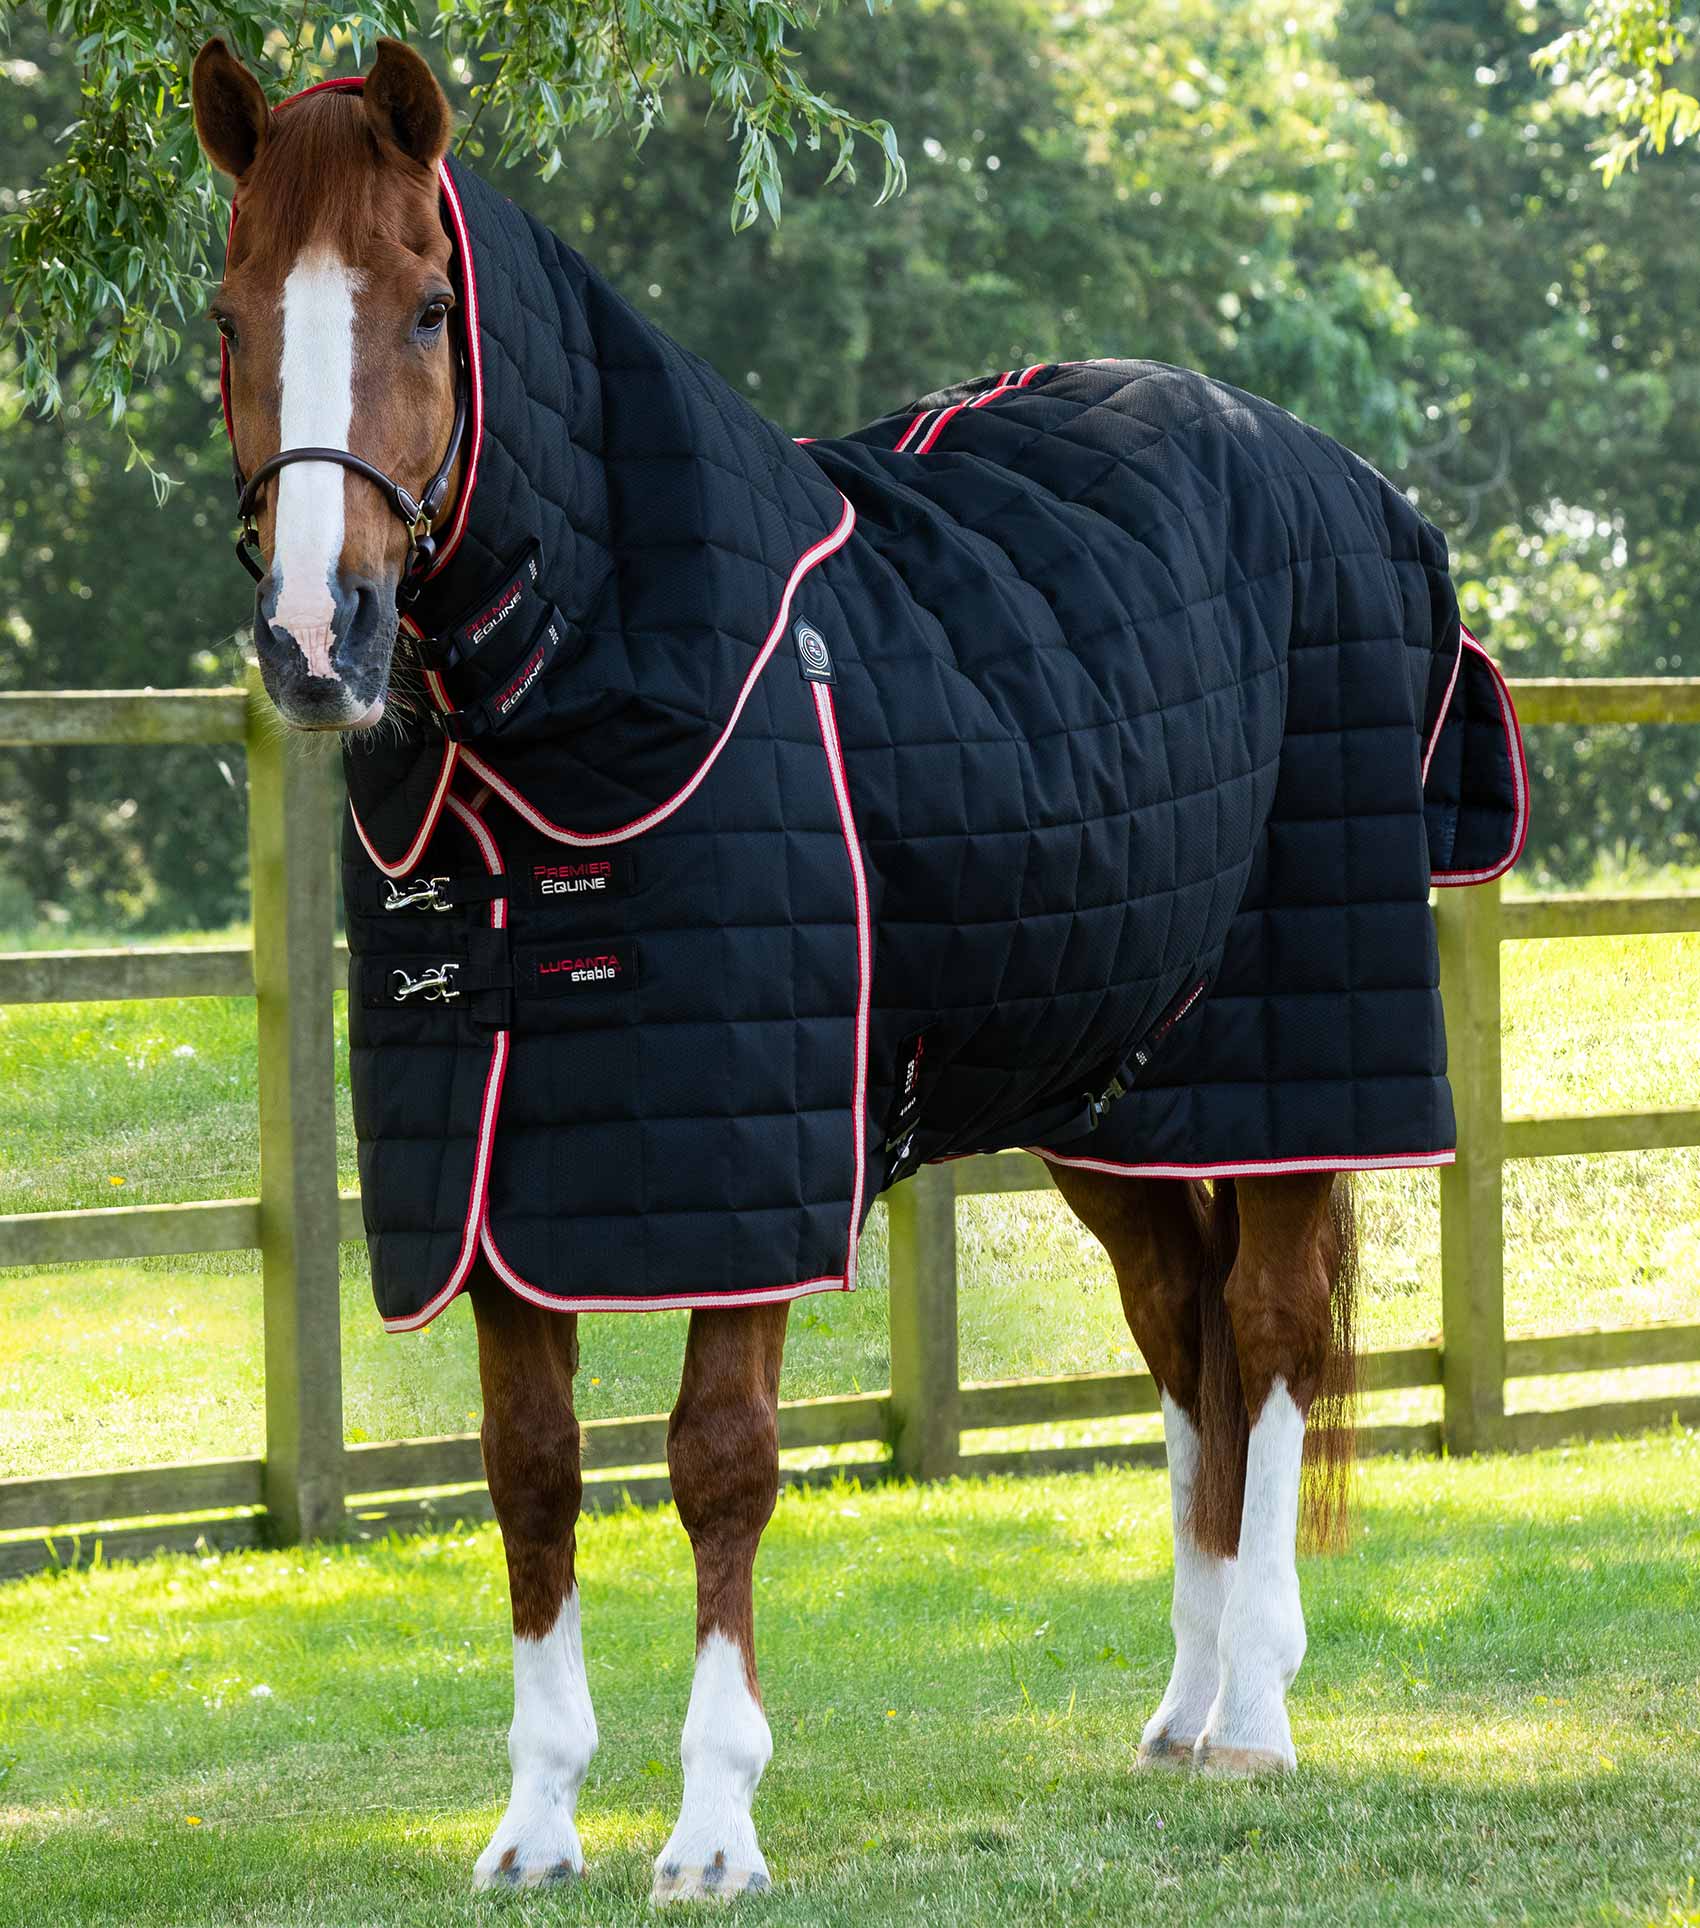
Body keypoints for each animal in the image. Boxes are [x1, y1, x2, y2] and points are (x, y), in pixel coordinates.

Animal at [192, 34, 1523, 1901]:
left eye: (432, 307)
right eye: (233, 311)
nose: (321, 639)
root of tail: (1356, 489)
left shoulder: (748, 1167)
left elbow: (720, 1466)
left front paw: (712, 1825)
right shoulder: (505, 1179)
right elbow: (531, 1472)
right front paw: (537, 1822)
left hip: (1295, 1072)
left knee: (1263, 1334)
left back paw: (1257, 1710)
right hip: (1111, 1095)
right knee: (1181, 1333)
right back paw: (1182, 1710)